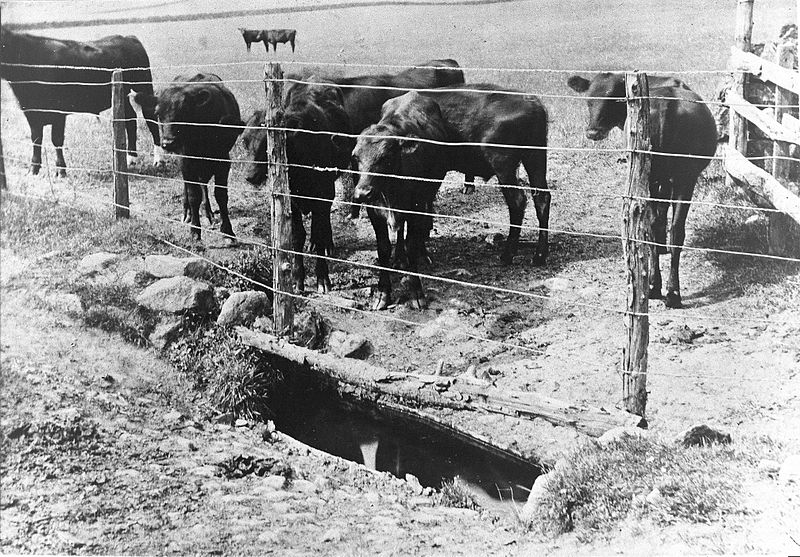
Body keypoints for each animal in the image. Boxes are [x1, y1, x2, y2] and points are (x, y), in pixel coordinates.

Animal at [0, 26, 161, 176]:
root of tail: (128, 37)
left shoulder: (59, 112)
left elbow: (56, 140)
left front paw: (61, 171)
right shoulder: (30, 112)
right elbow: (36, 140)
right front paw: (33, 170)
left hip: (144, 84)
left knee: (150, 118)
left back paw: (158, 160)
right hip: (123, 93)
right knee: (130, 120)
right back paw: (130, 159)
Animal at [136, 73, 242, 242]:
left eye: (184, 112)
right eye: (158, 114)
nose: (168, 142)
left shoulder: (223, 160)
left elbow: (221, 195)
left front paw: (228, 231)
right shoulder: (186, 161)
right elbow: (193, 195)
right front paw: (194, 230)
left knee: (203, 184)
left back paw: (208, 213)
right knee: (188, 187)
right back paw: (188, 213)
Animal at [239, 80, 348, 294]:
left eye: (267, 143)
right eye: (245, 141)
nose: (249, 176)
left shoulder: (322, 194)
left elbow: (318, 231)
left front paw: (323, 279)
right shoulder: (292, 201)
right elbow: (297, 236)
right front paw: (297, 279)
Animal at [356, 89, 552, 310]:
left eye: (385, 158)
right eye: (356, 157)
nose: (362, 193)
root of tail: (532, 102)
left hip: (505, 167)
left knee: (518, 202)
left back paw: (508, 254)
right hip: (535, 160)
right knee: (542, 199)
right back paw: (539, 254)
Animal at [568, 72, 720, 308]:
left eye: (615, 99)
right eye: (589, 100)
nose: (593, 132)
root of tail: (667, 105)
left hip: (664, 177)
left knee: (658, 225)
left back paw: (655, 286)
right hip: (685, 177)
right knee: (675, 229)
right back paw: (671, 292)